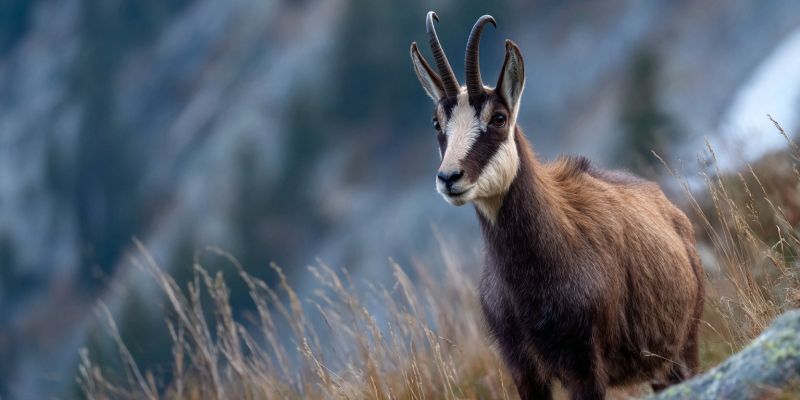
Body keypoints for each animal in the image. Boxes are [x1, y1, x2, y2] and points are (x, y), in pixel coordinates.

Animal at [410, 12, 705, 400]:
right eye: (436, 122)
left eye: (499, 117)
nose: (449, 177)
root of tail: (673, 213)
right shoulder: (523, 369)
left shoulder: (584, 366)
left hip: (684, 348)